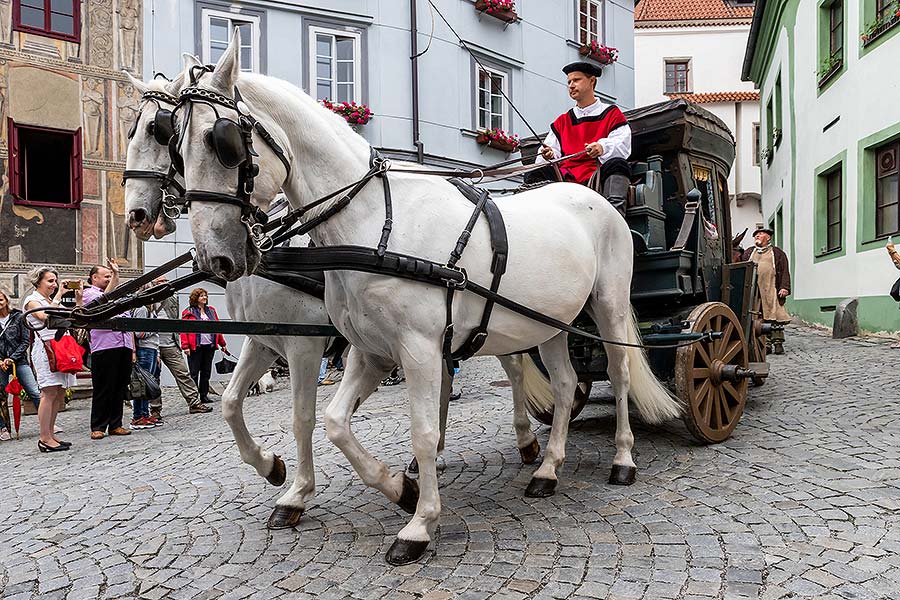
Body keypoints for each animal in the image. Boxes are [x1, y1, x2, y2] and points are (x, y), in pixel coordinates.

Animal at [176, 38, 684, 568]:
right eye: (175, 142)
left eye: (222, 142)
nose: (214, 256)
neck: (374, 224)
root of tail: (595, 199)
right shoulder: (369, 351)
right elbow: (334, 422)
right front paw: (400, 488)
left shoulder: (404, 349)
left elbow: (415, 430)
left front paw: (419, 524)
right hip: (549, 324)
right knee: (564, 385)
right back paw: (546, 469)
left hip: (607, 305)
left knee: (620, 373)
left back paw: (622, 459)